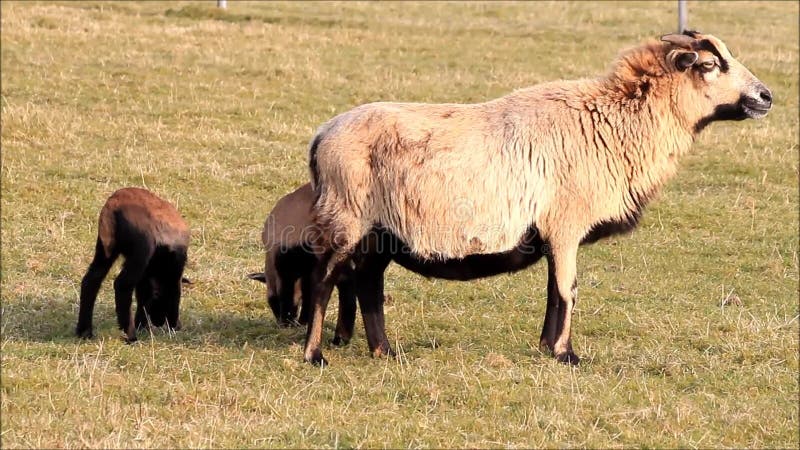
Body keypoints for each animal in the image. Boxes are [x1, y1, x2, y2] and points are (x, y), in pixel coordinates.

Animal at [76, 186, 192, 342]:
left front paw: (142, 325)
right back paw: (130, 335)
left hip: (105, 250)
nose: (158, 322)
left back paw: (84, 331)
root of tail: (113, 204)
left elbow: (143, 295)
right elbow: (174, 293)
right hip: (141, 250)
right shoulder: (173, 269)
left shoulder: (145, 274)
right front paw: (174, 326)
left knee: (91, 280)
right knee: (122, 284)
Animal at [298, 32, 768, 370]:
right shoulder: (565, 225)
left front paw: (547, 346)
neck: (614, 122)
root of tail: (321, 136)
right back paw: (314, 355)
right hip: (347, 216)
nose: (766, 97)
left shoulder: (553, 232)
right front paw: (566, 355)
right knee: (322, 280)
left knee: (366, 284)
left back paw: (383, 352)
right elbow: (567, 290)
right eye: (709, 65)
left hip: (377, 232)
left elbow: (552, 290)